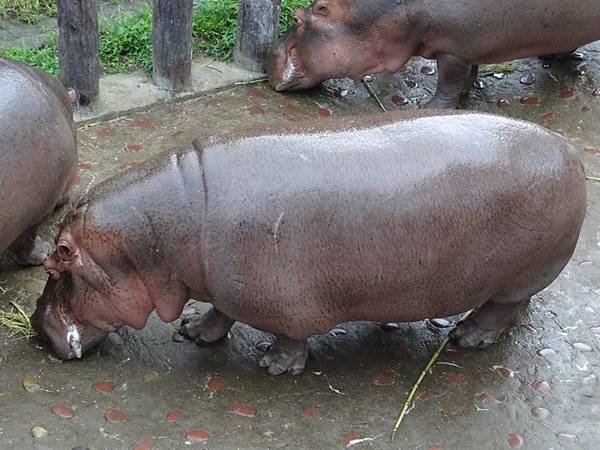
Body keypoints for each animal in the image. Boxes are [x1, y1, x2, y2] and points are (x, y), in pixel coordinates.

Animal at [30, 110, 584, 374]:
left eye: (56, 267)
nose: (35, 328)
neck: (159, 235)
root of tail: (569, 149)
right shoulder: (223, 287)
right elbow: (219, 313)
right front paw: (194, 331)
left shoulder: (279, 302)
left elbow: (290, 337)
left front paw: (273, 365)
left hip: (518, 276)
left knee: (502, 310)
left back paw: (466, 338)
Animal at [270, 0, 600, 108]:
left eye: (297, 18)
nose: (267, 51)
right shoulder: (469, 47)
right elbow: (470, 73)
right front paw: (467, 93)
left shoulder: (453, 50)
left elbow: (449, 82)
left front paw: (429, 108)